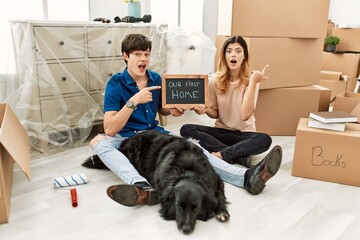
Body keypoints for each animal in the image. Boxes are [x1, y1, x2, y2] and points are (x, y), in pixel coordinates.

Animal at [82, 130, 229, 233]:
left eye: (196, 208)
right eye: (178, 206)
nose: (186, 230)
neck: (189, 171)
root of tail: (127, 140)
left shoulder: (217, 181)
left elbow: (219, 197)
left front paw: (222, 211)